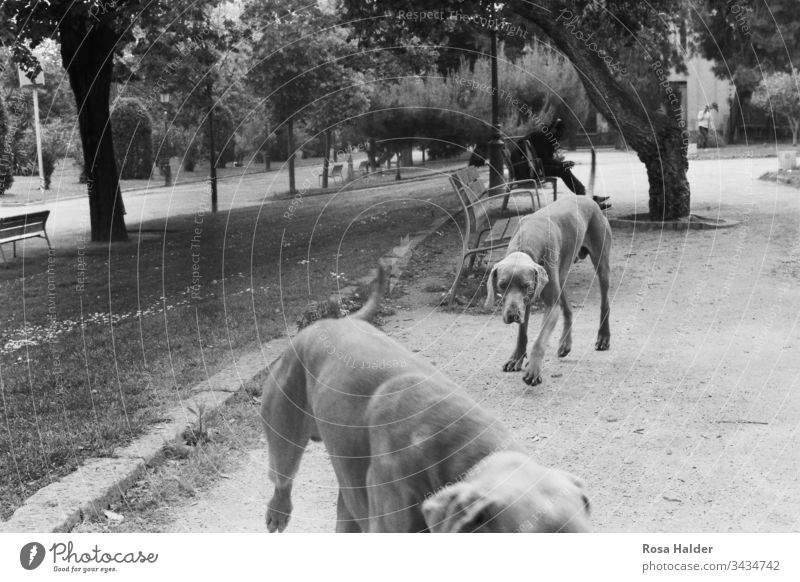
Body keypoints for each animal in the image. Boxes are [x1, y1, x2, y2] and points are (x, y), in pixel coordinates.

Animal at [484, 196, 608, 388]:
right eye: (502, 285)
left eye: (526, 285)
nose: (513, 315)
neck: (526, 242)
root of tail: (589, 199)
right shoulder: (526, 302)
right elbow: (522, 333)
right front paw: (516, 358)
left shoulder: (549, 304)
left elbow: (540, 341)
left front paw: (533, 371)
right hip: (560, 276)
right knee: (568, 309)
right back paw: (565, 344)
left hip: (600, 263)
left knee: (604, 302)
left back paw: (603, 338)